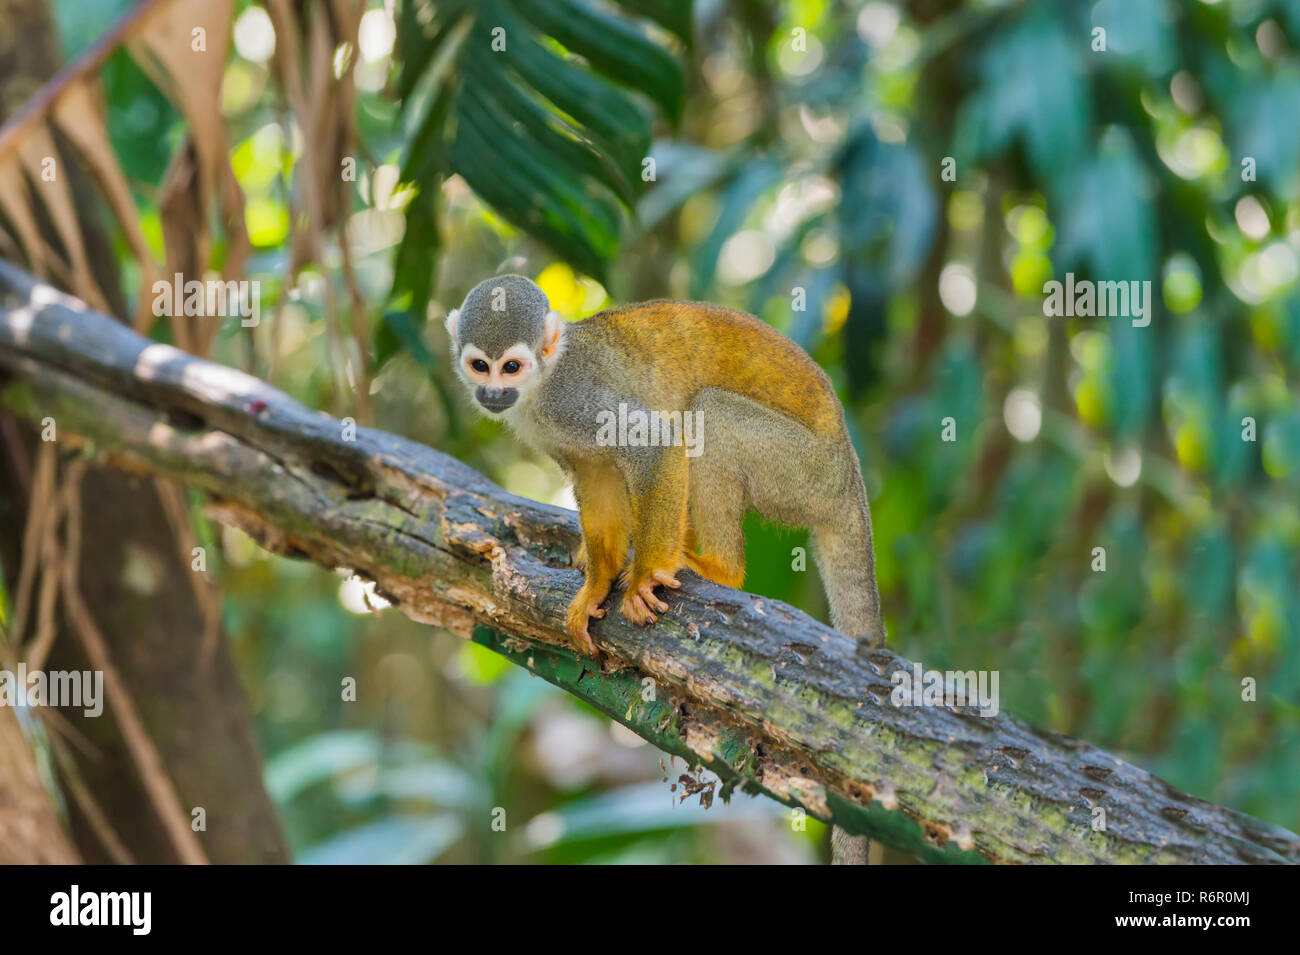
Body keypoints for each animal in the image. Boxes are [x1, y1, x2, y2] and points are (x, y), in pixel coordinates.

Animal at [444, 274, 883, 657]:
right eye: (480, 366)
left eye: (511, 367)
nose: (493, 393)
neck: (541, 385)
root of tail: (851, 475)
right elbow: (596, 475)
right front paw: (598, 583)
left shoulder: (573, 399)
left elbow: (655, 443)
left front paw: (642, 581)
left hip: (806, 471)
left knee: (710, 414)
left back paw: (721, 569)